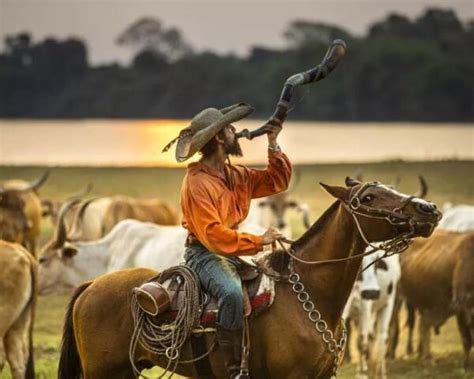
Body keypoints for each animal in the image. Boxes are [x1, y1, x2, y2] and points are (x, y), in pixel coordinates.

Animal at [342, 249, 402, 379]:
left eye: (376, 262)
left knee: (381, 338)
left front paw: (363, 373)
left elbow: (362, 342)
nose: (372, 292)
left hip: (388, 303)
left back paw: (380, 373)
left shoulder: (366, 306)